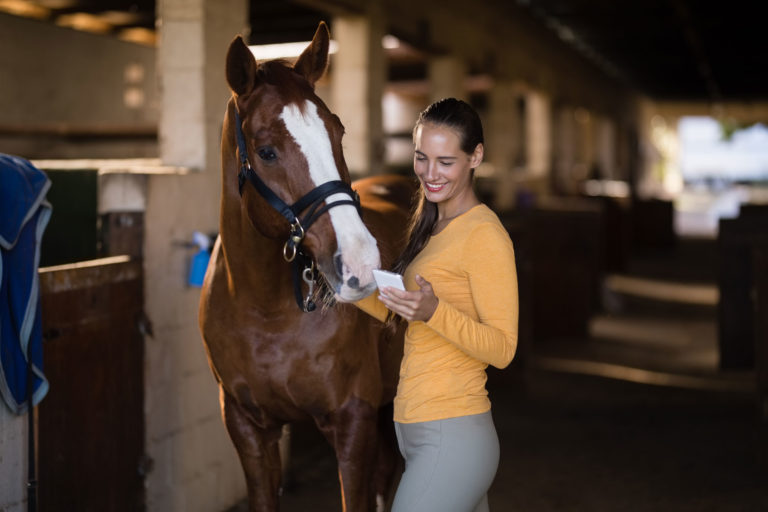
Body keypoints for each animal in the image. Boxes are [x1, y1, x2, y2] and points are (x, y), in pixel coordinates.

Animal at [199, 22, 413, 511]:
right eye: (266, 151)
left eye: (338, 131)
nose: (360, 262)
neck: (265, 310)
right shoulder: (248, 427)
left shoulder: (353, 421)